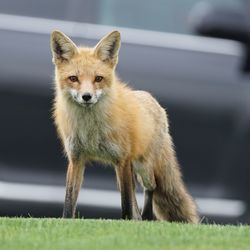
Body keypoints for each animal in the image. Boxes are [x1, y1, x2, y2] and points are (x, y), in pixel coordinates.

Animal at [50, 29, 199, 223]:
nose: (87, 96)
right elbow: (70, 199)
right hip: (126, 168)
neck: (91, 130)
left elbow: (126, 203)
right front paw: (66, 221)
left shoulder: (122, 158)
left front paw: (126, 223)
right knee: (135, 193)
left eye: (98, 78)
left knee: (150, 187)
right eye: (73, 78)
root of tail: (154, 101)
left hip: (143, 167)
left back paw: (146, 218)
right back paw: (139, 219)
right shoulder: (76, 159)